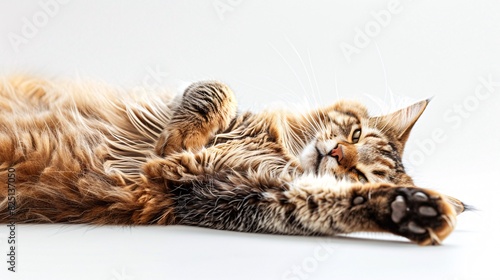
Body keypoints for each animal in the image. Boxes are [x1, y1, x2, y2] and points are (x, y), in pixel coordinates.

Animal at [0, 76, 464, 245]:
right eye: (354, 136)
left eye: (360, 174)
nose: (335, 152)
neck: (278, 147)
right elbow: (214, 90)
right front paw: (179, 138)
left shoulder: (224, 194)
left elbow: (318, 205)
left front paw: (408, 210)